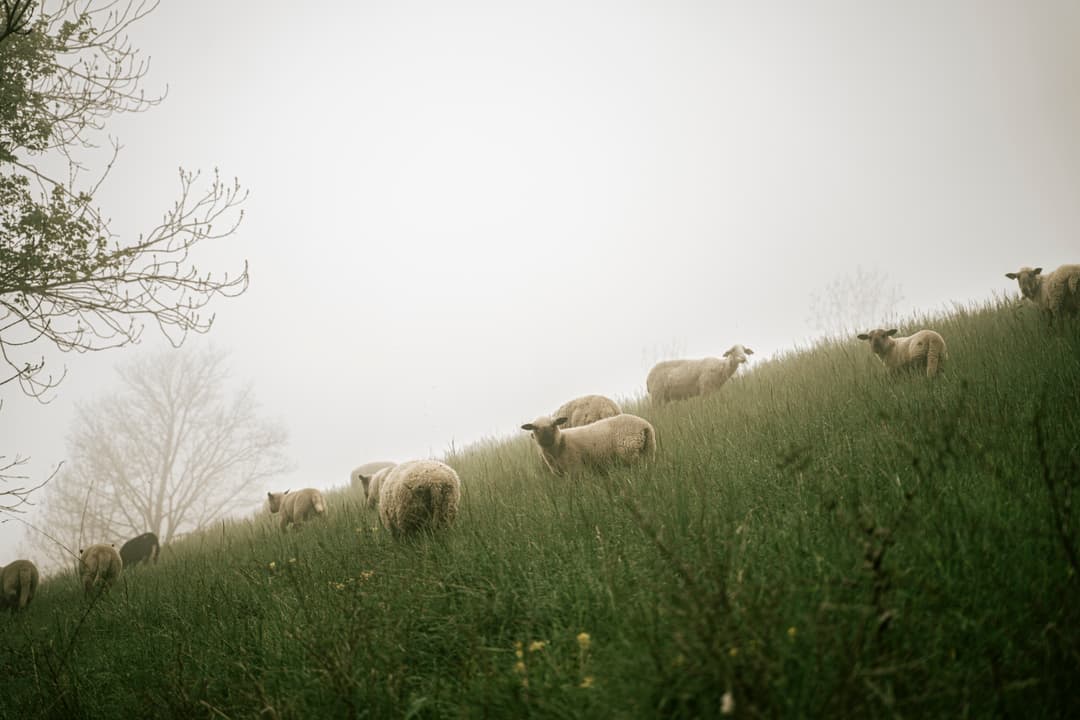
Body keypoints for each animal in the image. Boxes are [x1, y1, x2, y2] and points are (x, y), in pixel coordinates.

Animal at [521, 412, 657, 476]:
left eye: (554, 425)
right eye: (535, 428)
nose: (547, 437)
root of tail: (644, 425)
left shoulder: (576, 469)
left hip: (630, 453)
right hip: (648, 450)